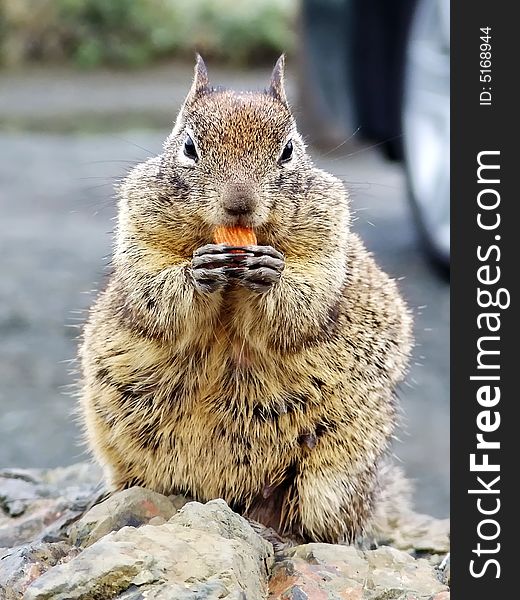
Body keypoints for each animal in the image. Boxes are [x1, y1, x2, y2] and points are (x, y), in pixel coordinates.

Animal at [79, 55, 412, 544]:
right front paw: (196, 273)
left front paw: (271, 275)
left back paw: (276, 528)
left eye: (289, 150)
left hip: (330, 481)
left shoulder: (327, 236)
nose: (240, 204)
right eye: (189, 147)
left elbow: (308, 298)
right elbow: (151, 288)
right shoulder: (140, 226)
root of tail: (219, 495)